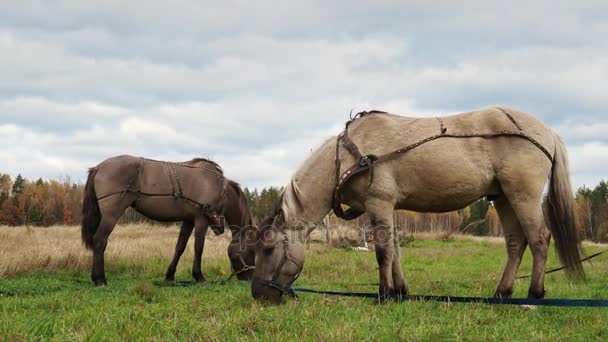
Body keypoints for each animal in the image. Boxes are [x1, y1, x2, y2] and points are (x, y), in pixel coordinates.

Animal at [80, 155, 254, 286]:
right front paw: (199, 276)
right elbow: (199, 248)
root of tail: (98, 168)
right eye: (252, 252)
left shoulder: (189, 220)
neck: (218, 187)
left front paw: (170, 275)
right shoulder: (201, 220)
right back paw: (100, 279)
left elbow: (180, 247)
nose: (249, 277)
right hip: (111, 214)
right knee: (100, 241)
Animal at [252, 107, 584, 304]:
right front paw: (400, 291)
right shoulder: (389, 207)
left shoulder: (379, 204)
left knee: (539, 238)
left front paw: (384, 294)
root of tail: (547, 131)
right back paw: (502, 293)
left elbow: (383, 252)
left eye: (268, 249)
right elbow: (396, 248)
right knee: (516, 243)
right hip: (503, 197)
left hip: (522, 195)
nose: (257, 294)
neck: (347, 157)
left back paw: (534, 294)